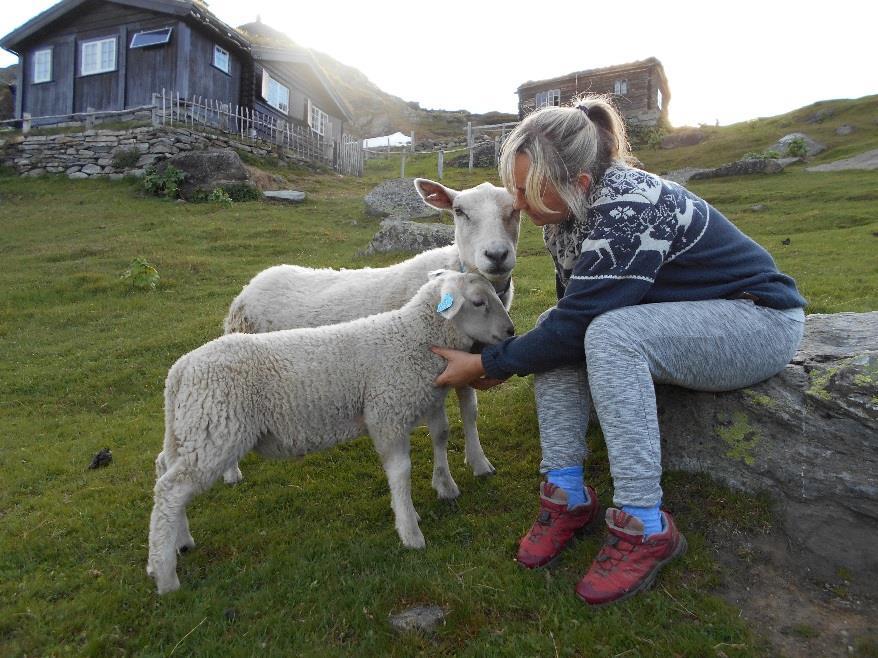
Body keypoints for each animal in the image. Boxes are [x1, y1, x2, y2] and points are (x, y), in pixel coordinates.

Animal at [146, 270, 516, 592]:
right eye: (479, 302)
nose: (512, 332)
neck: (412, 340)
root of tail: (180, 370)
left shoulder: (423, 400)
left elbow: (440, 436)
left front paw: (438, 492)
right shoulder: (386, 413)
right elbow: (400, 473)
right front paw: (410, 530)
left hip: (194, 428)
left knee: (165, 470)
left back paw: (177, 543)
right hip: (215, 430)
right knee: (170, 491)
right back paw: (166, 576)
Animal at [222, 177, 524, 490]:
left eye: (515, 210)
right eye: (459, 211)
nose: (496, 255)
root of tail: (253, 283)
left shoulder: (463, 359)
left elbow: (470, 412)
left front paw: (479, 462)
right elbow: (442, 429)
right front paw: (445, 481)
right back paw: (231, 473)